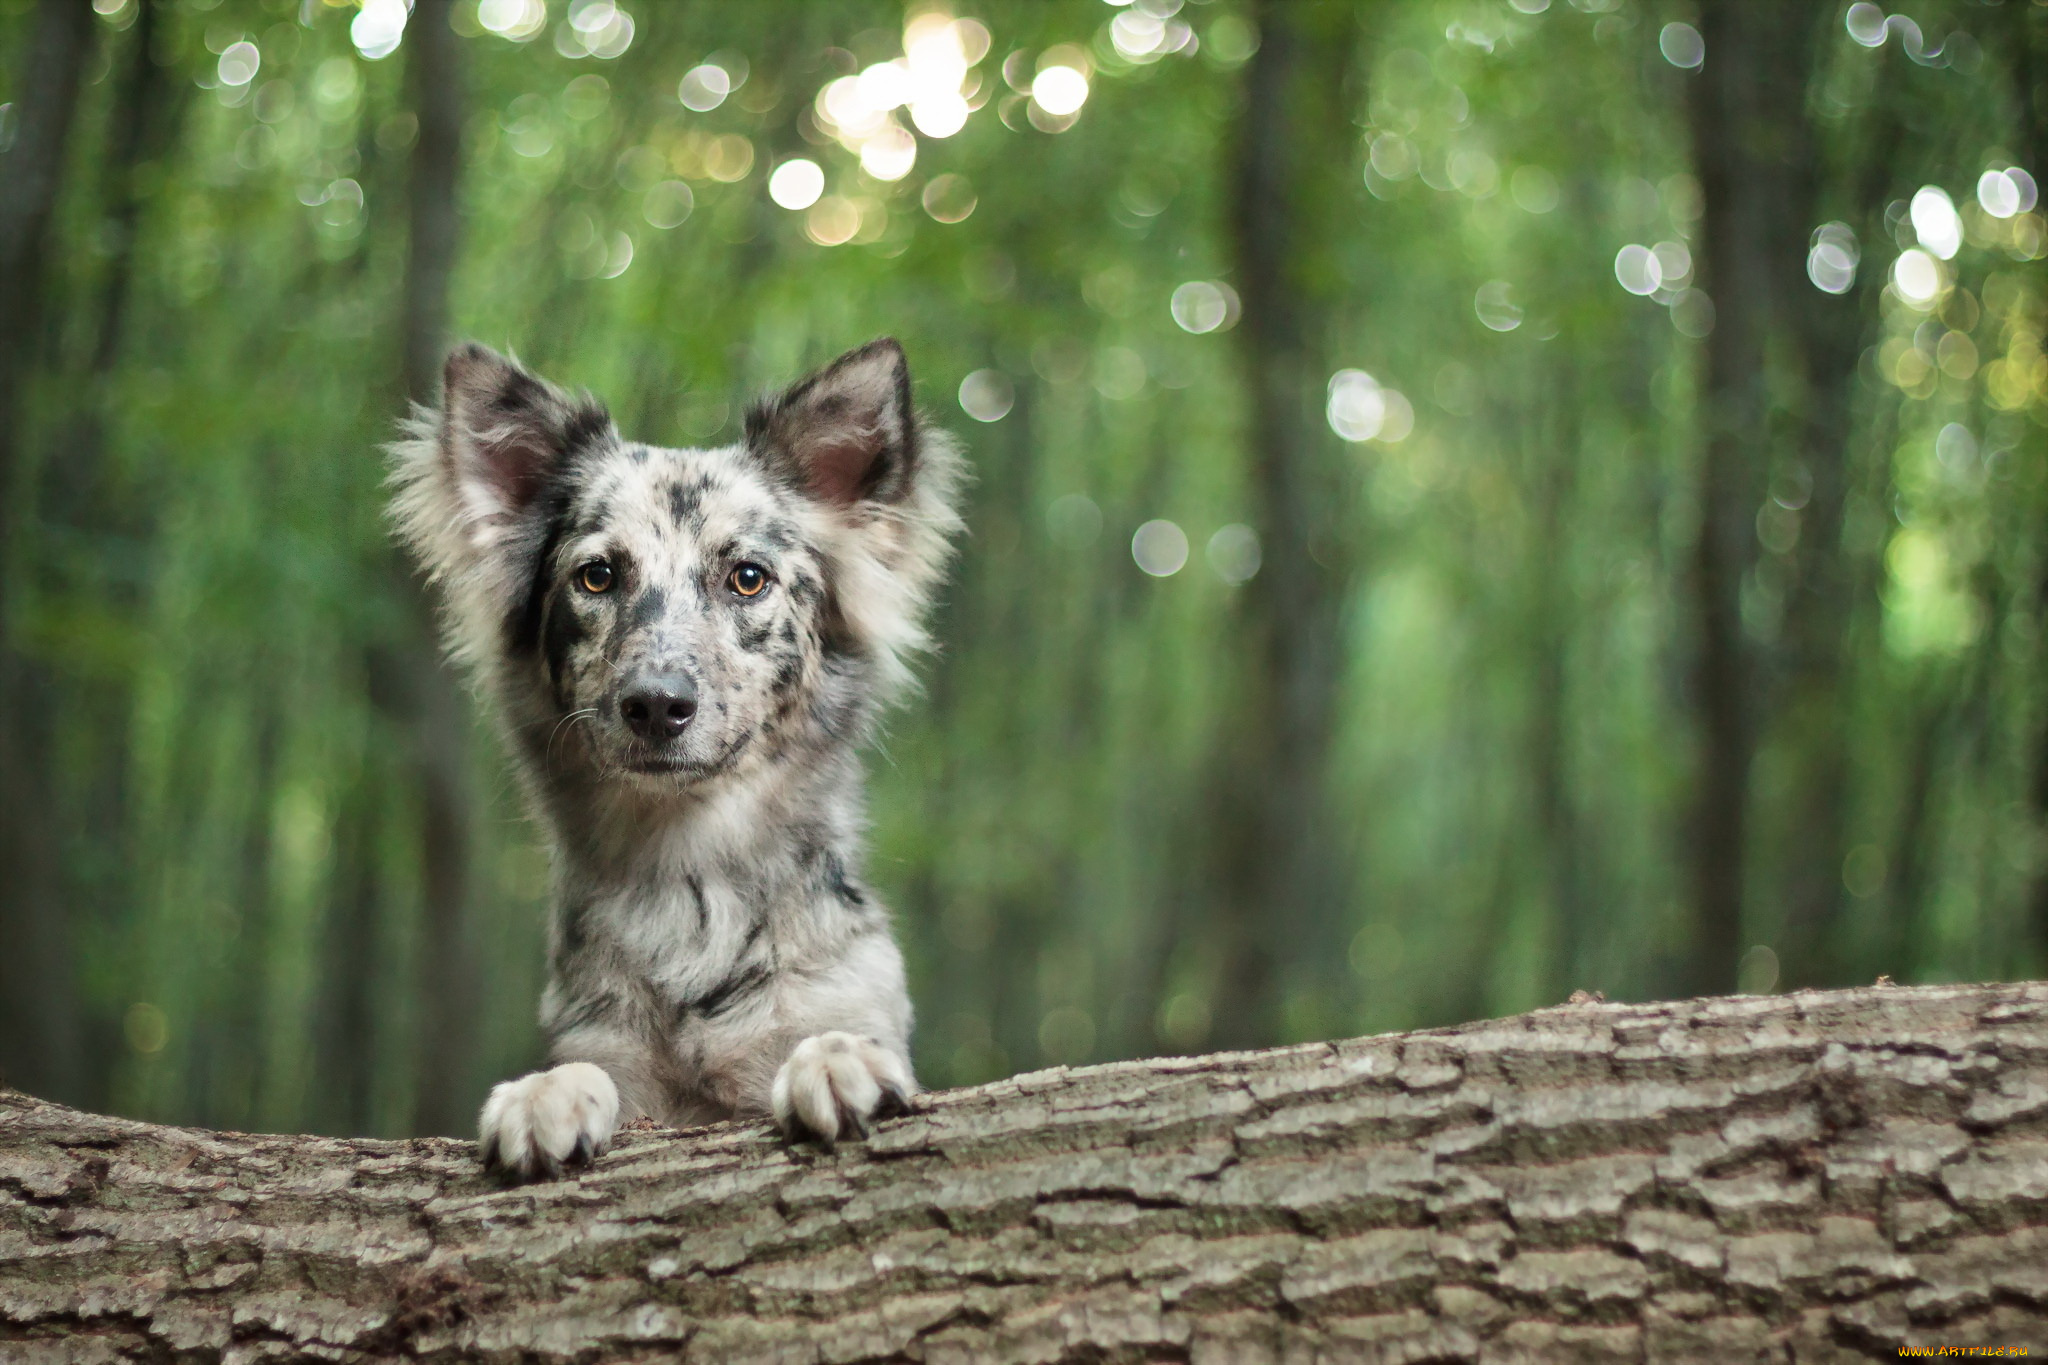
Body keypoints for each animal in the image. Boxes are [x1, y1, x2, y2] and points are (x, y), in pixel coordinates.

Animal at [393, 335, 966, 1178]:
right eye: (597, 575)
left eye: (748, 578)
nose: (656, 704)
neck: (691, 885)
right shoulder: (611, 1049)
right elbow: (588, 1067)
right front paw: (546, 1093)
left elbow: (830, 1036)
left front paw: (837, 1058)